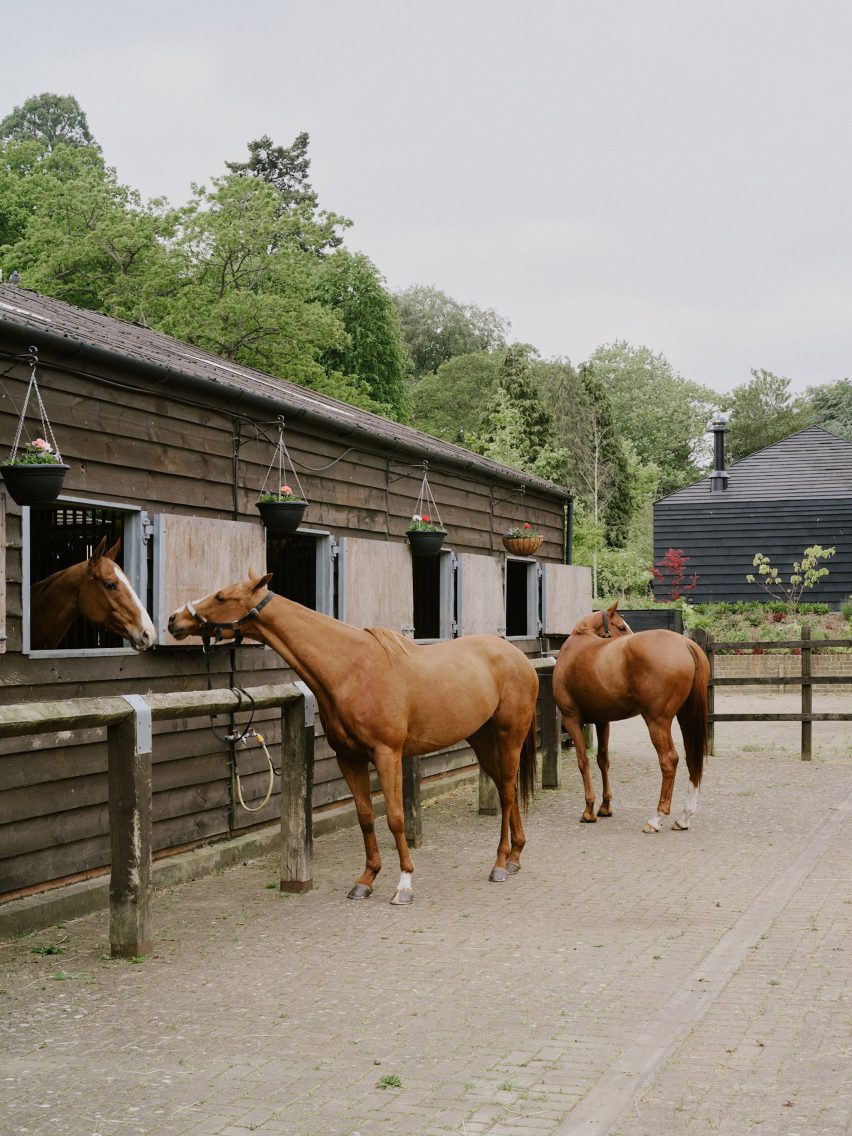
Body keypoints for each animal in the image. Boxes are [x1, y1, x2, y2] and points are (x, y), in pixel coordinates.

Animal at [167, 571, 539, 905]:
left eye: (221, 597)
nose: (174, 619)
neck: (350, 668)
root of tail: (519, 659)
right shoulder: (349, 758)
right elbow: (365, 817)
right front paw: (366, 880)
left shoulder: (388, 754)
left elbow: (395, 817)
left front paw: (404, 884)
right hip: (482, 740)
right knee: (507, 788)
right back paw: (515, 857)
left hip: (509, 736)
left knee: (508, 792)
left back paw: (499, 864)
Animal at [552, 601, 709, 833]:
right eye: (621, 627)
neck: (577, 645)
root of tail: (685, 644)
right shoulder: (602, 721)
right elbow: (603, 760)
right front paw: (605, 807)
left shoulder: (571, 719)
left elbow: (583, 761)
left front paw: (589, 810)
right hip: (686, 717)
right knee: (692, 759)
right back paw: (684, 817)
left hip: (657, 722)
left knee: (669, 760)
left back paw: (656, 818)